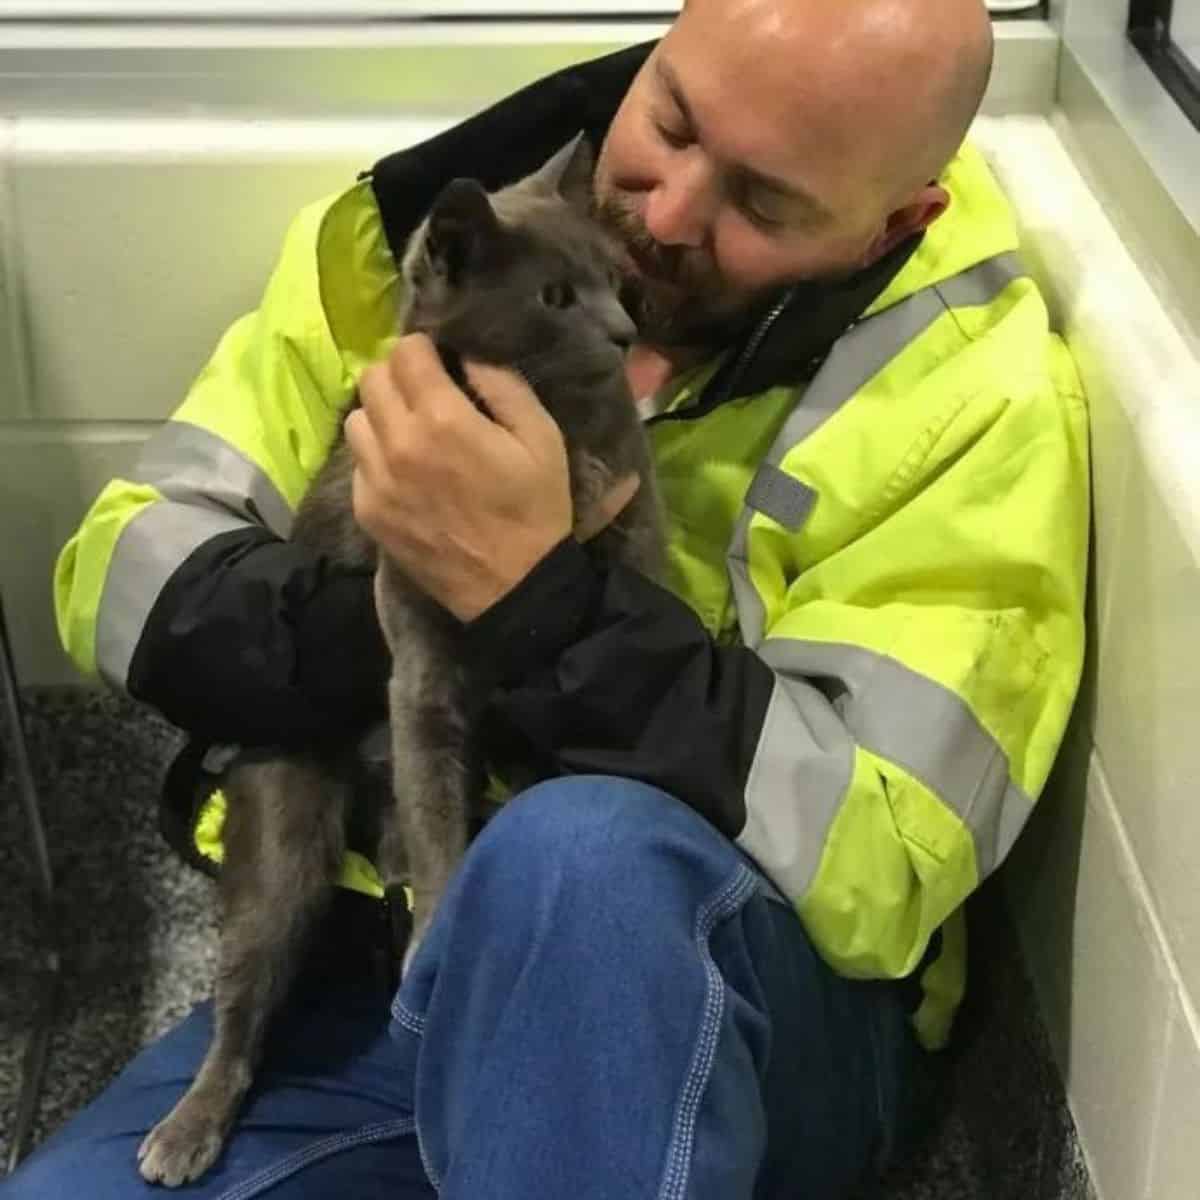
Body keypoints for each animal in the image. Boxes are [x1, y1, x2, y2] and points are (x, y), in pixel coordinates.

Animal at [136, 136, 672, 1185]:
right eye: (555, 295)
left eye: (617, 278)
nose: (625, 330)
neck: (553, 419)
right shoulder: (417, 662)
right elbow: (438, 826)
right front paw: (434, 932)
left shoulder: (636, 529)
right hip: (284, 822)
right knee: (249, 992)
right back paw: (187, 1127)